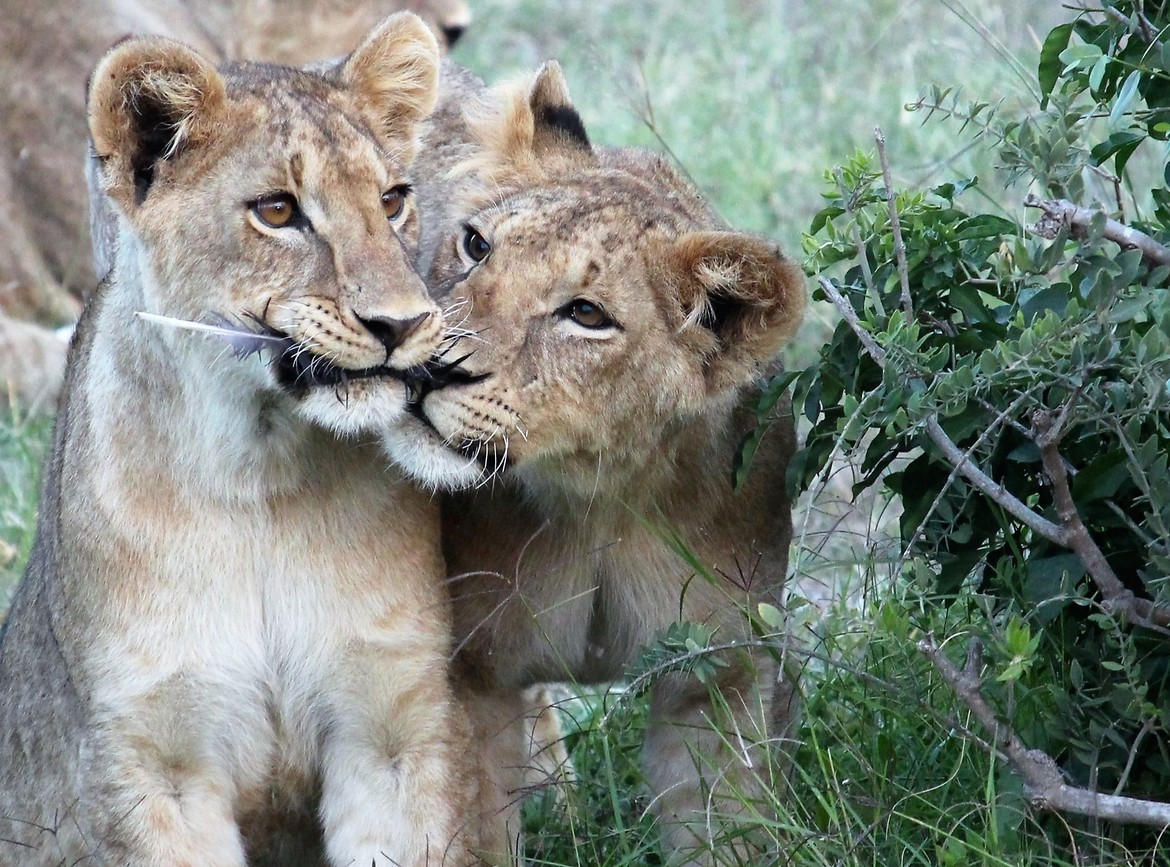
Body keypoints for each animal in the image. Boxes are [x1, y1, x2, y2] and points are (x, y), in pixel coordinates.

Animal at [380, 63, 807, 865]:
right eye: (475, 244)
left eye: (586, 314)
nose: (427, 370)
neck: (599, 494)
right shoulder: (468, 673)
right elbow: (475, 829)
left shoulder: (717, 677)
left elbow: (723, 827)